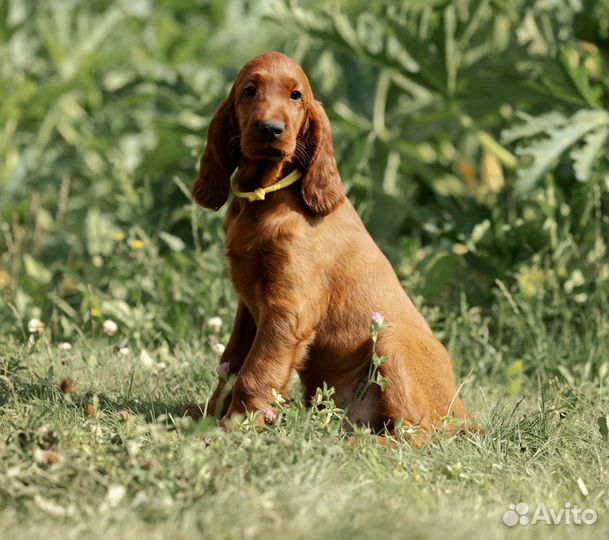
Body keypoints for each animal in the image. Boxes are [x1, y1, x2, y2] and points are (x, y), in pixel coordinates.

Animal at [190, 51, 470, 442]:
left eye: (296, 96)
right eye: (249, 90)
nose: (271, 129)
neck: (266, 198)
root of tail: (465, 416)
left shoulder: (287, 310)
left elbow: (254, 373)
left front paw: (235, 426)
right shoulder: (248, 308)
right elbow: (229, 364)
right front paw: (206, 414)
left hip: (391, 340)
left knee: (417, 434)